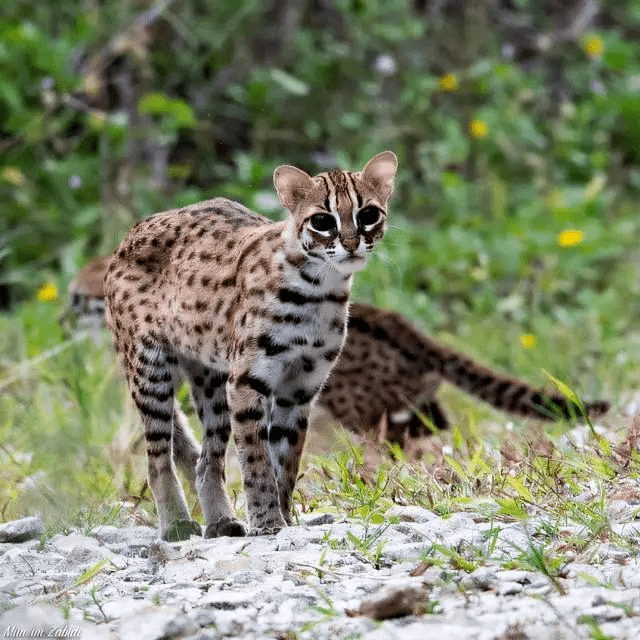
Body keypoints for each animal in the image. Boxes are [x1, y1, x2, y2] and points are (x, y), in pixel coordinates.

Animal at [104, 150, 396, 540]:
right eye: (322, 221)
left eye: (368, 215)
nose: (351, 243)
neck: (320, 287)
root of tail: (130, 233)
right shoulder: (249, 378)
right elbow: (256, 457)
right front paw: (267, 521)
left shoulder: (301, 386)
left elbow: (285, 459)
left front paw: (283, 516)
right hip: (151, 368)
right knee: (158, 455)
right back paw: (177, 523)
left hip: (212, 379)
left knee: (206, 459)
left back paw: (221, 521)